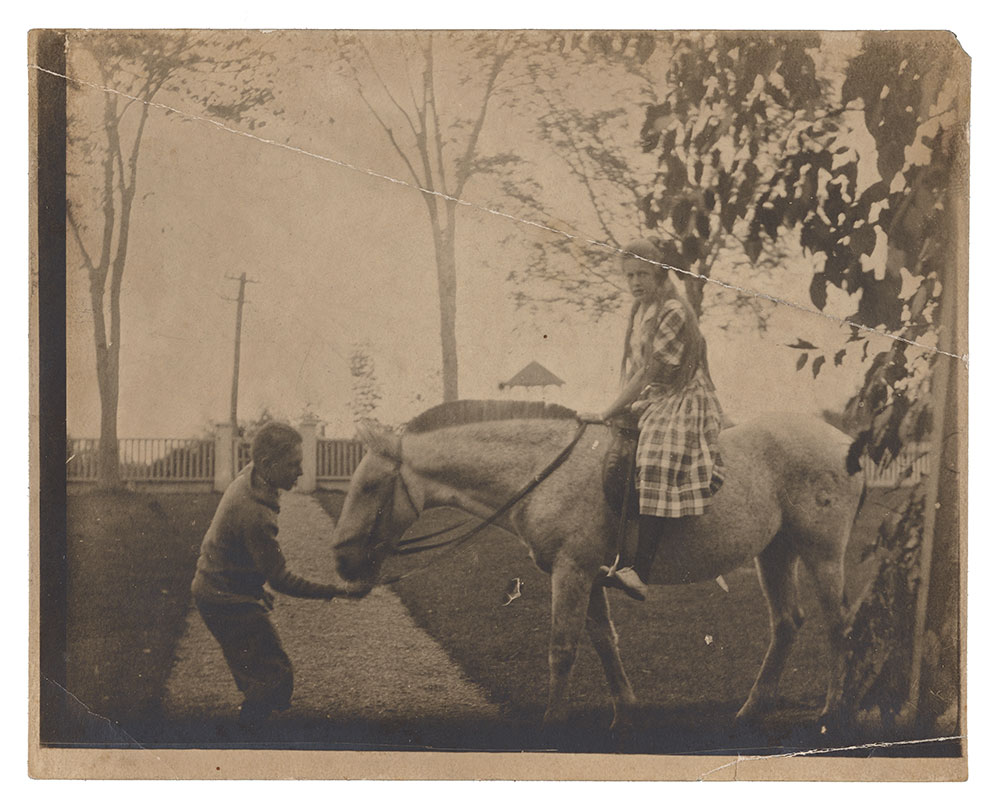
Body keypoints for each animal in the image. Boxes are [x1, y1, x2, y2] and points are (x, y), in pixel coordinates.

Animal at [332, 400, 864, 728]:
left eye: (370, 486)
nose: (342, 562)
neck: (546, 471)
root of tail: (845, 444)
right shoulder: (587, 574)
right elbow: (604, 641)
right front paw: (624, 714)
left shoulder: (571, 571)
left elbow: (563, 649)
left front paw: (552, 725)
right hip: (775, 552)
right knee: (787, 623)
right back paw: (752, 711)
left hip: (821, 552)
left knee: (838, 625)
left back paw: (831, 712)